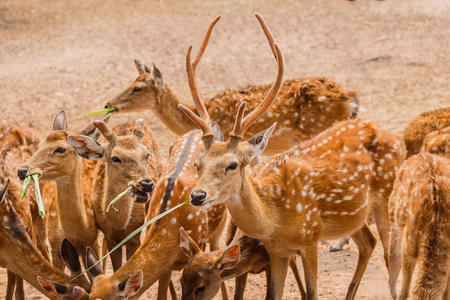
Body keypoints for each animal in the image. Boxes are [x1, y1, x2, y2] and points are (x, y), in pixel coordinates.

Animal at [68, 119, 162, 272]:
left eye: (146, 155)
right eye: (115, 158)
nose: (147, 184)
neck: (119, 224)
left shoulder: (135, 233)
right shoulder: (109, 236)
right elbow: (117, 268)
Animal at [178, 12, 406, 298]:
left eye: (233, 165)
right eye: (198, 164)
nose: (197, 196)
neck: (274, 220)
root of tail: (396, 139)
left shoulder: (310, 240)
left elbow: (311, 293)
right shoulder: (277, 252)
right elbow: (273, 294)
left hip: (387, 198)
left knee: (391, 256)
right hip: (357, 214)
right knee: (368, 243)